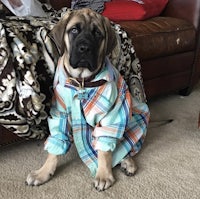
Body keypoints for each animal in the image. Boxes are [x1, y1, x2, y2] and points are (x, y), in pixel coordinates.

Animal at [25, 7, 149, 191]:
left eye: (97, 33)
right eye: (74, 30)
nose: (85, 48)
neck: (82, 81)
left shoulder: (111, 116)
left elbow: (105, 151)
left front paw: (103, 175)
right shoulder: (60, 114)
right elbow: (55, 146)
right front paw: (43, 172)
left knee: (123, 145)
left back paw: (127, 162)